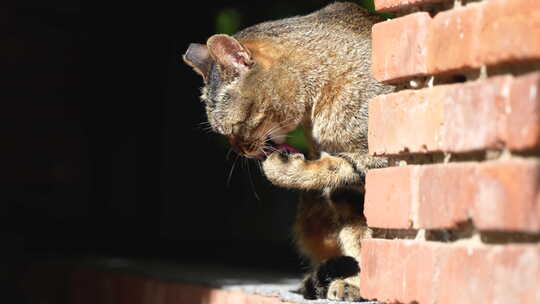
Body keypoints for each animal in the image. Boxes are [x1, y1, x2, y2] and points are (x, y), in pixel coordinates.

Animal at [182, 2, 392, 300]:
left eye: (234, 127)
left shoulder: (380, 161)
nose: (241, 150)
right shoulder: (346, 195)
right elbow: (360, 238)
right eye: (223, 134)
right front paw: (357, 282)